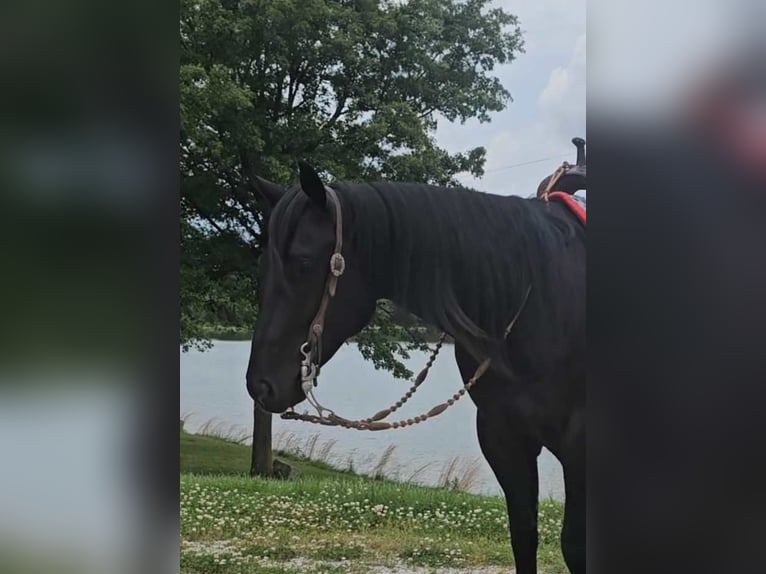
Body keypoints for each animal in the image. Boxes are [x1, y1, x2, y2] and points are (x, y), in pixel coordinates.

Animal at [246, 163, 588, 574]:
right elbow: (523, 535)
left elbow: (576, 547)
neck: (541, 299)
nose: (260, 385)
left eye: (304, 262)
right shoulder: (503, 436)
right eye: (263, 266)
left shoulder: (580, 445)